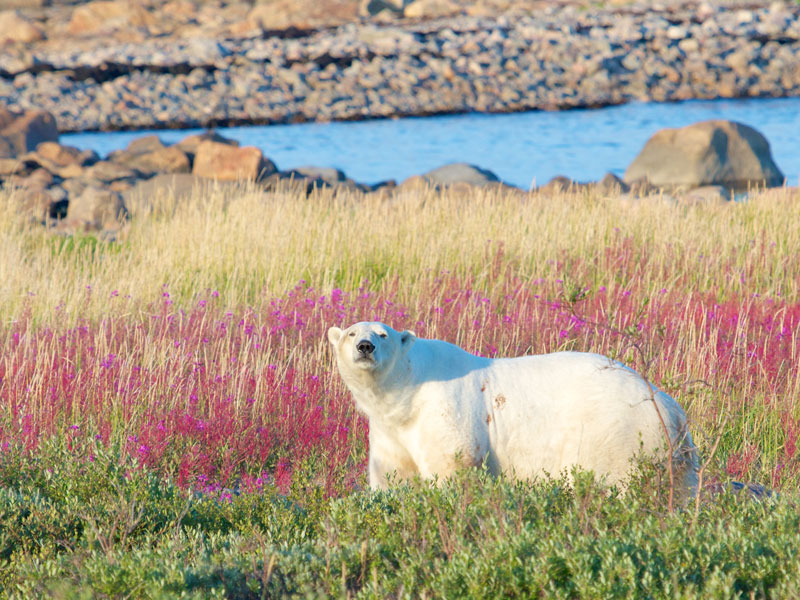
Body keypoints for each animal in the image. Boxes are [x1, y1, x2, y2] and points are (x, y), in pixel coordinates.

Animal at [328, 322, 696, 500]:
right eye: (351, 332)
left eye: (383, 333)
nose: (365, 346)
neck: (408, 389)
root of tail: (671, 408)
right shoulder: (391, 430)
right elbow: (392, 477)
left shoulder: (445, 411)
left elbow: (452, 469)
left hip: (620, 435)